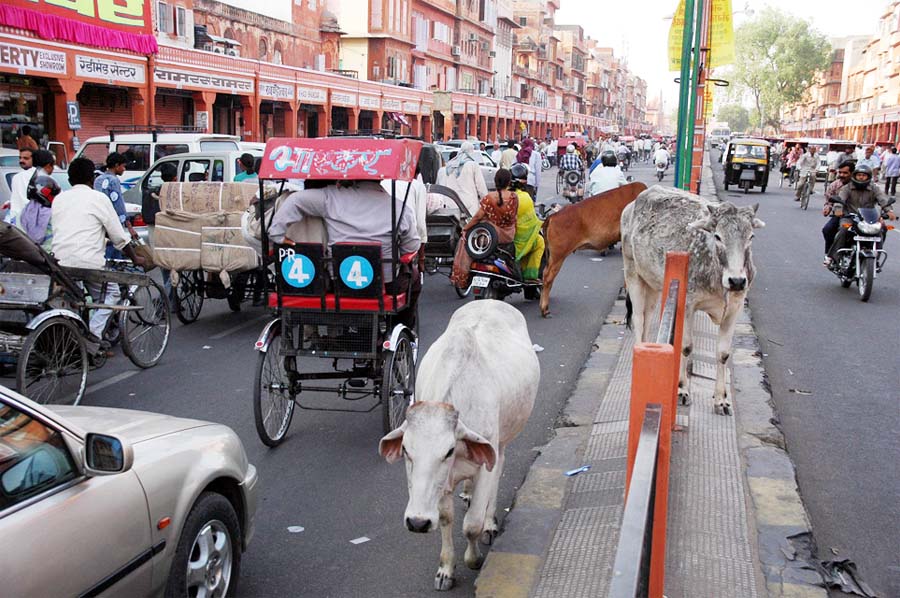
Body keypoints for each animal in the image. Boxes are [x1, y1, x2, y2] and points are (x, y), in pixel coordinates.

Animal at [378, 302, 536, 592]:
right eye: (406, 451)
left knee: (498, 472)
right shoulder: (444, 483)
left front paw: (474, 558)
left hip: (501, 442)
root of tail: (492, 301)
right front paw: (446, 570)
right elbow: (445, 518)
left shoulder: (484, 463)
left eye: (448, 451)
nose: (417, 522)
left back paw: (490, 523)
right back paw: (468, 494)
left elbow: (471, 525)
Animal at [620, 188, 768, 418]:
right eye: (718, 236)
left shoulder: (734, 309)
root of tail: (634, 202)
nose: (736, 281)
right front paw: (682, 389)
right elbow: (686, 347)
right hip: (632, 273)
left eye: (751, 237)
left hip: (653, 285)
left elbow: (723, 354)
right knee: (637, 318)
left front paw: (721, 400)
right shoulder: (688, 305)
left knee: (647, 319)